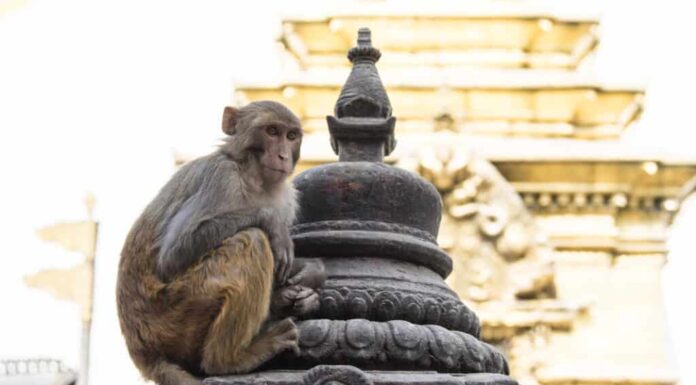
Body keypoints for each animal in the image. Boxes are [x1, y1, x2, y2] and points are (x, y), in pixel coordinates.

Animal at [117, 100, 326, 384]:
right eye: (272, 131)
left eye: (291, 136)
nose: (283, 156)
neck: (252, 176)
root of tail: (142, 353)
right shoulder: (222, 178)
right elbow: (173, 256)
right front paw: (271, 221)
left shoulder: (287, 198)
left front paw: (310, 276)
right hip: (171, 318)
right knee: (252, 240)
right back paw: (230, 359)